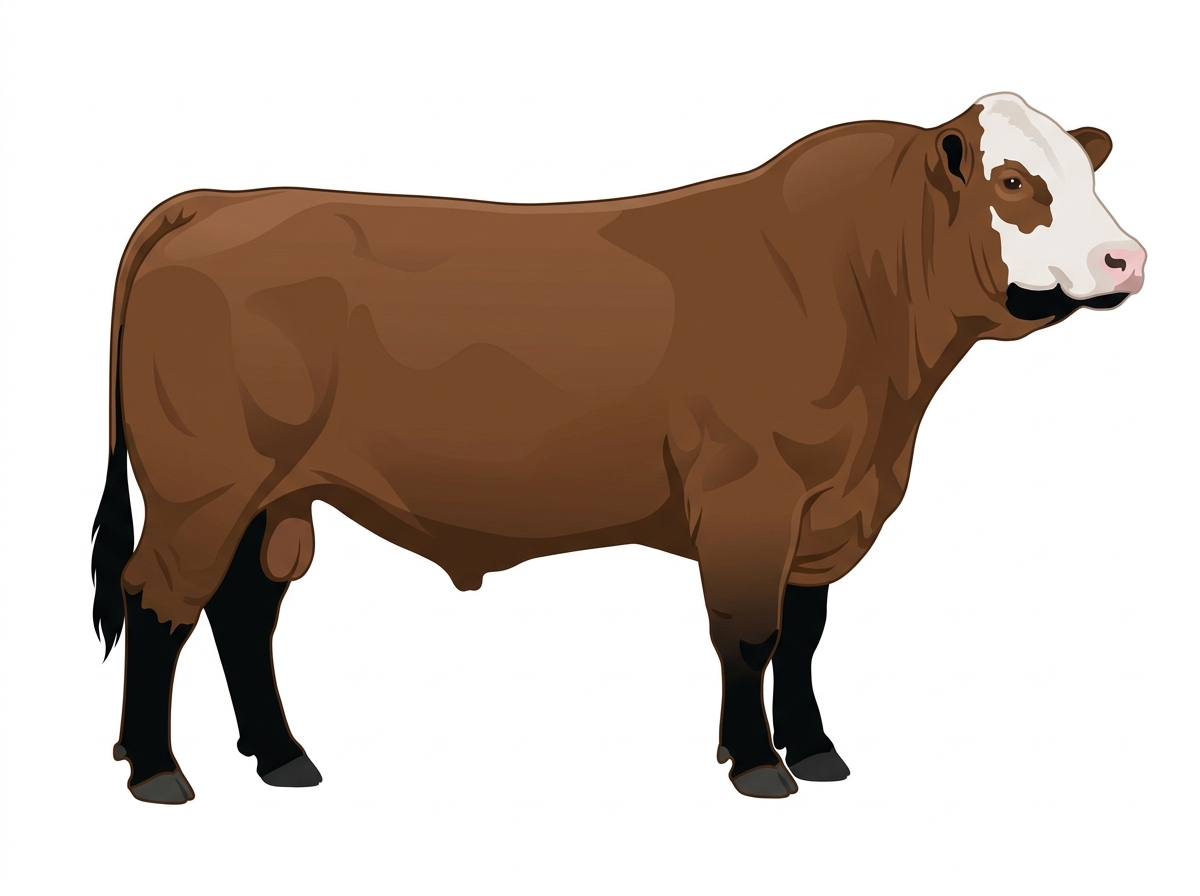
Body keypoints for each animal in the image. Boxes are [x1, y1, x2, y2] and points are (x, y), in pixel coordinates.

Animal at [92, 93, 1145, 803]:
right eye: (1013, 182)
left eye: (1090, 173)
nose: (1126, 257)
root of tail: (214, 200)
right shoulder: (750, 496)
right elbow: (749, 633)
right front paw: (757, 764)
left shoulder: (827, 510)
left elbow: (805, 633)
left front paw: (815, 750)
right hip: (201, 487)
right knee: (159, 599)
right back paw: (157, 770)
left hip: (274, 496)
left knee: (242, 610)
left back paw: (281, 756)